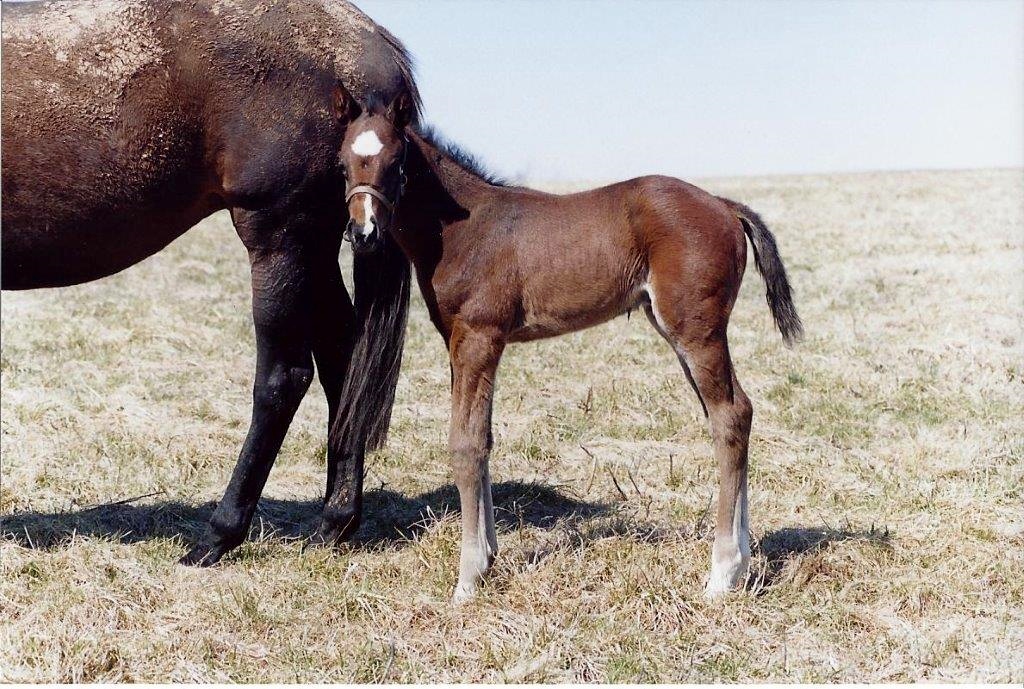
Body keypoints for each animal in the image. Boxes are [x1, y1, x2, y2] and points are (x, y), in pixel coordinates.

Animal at [335, 92, 798, 601]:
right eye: (342, 164)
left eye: (395, 161)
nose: (363, 233)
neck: (466, 228)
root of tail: (723, 205)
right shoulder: (459, 341)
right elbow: (485, 438)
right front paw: (489, 558)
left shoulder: (478, 338)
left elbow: (466, 442)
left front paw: (468, 577)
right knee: (736, 413)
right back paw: (743, 562)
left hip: (696, 330)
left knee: (729, 416)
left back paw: (722, 573)